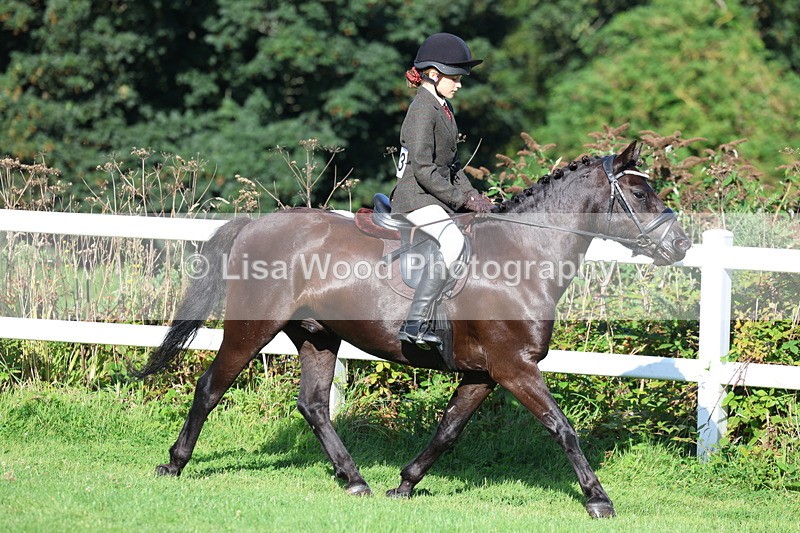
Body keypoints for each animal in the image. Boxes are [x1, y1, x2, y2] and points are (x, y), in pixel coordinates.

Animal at [133, 141, 691, 518]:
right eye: (638, 191)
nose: (681, 245)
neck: (524, 256)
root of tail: (256, 223)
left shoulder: (483, 374)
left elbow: (448, 430)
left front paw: (405, 484)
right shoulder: (515, 368)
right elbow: (561, 427)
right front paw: (598, 499)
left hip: (318, 335)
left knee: (314, 406)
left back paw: (355, 480)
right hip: (252, 328)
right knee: (211, 387)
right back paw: (174, 464)